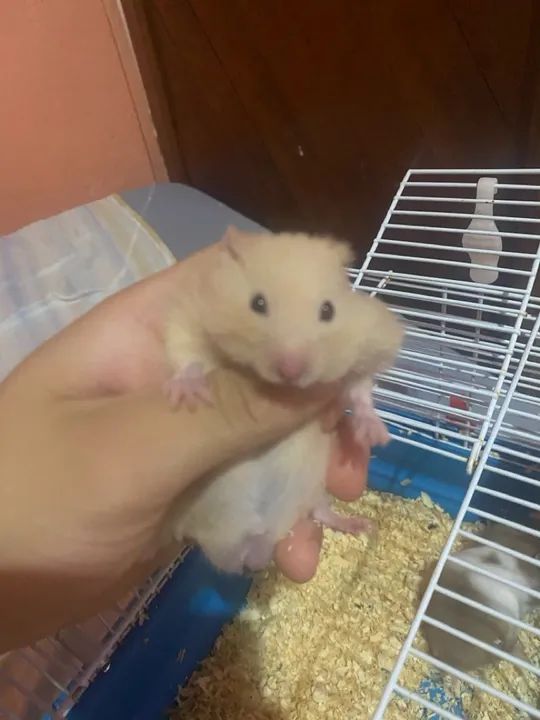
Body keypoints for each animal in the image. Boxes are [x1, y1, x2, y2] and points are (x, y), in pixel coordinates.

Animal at [162, 227, 403, 574]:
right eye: (258, 303)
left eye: (328, 310)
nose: (291, 371)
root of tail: (260, 538)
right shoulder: (189, 315)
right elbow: (188, 355)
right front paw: (188, 396)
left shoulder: (365, 345)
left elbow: (359, 391)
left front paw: (374, 435)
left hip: (311, 486)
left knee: (320, 512)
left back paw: (359, 525)